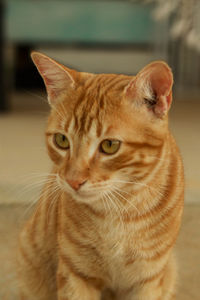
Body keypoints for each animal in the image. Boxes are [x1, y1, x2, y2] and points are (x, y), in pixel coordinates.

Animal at [18, 52, 184, 300]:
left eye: (109, 145)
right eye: (61, 140)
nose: (73, 181)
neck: (119, 210)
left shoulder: (148, 279)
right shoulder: (75, 274)